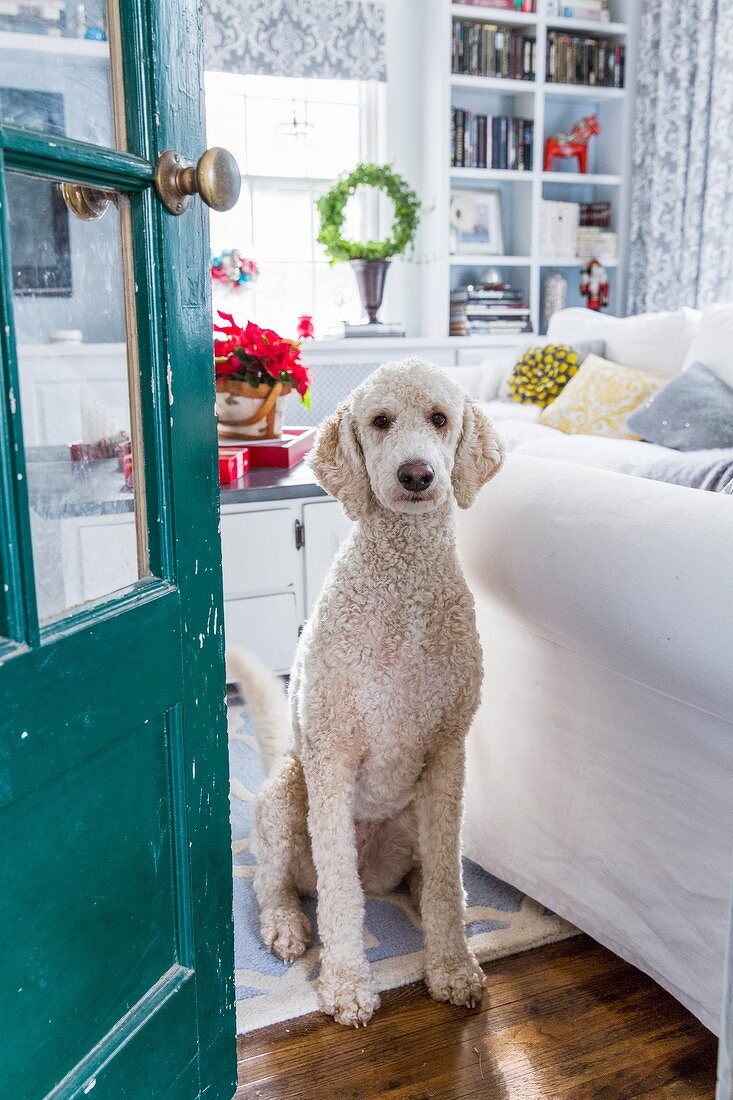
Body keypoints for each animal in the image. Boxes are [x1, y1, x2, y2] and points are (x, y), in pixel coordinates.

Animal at [228, 356, 501, 1025]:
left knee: (432, 881)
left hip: (417, 818)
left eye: (440, 418)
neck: (403, 581)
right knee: (272, 882)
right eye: (379, 421)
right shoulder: (331, 754)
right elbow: (339, 897)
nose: (417, 474)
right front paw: (349, 984)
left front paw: (454, 969)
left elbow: (447, 892)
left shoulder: (447, 754)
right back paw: (286, 926)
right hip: (286, 794)